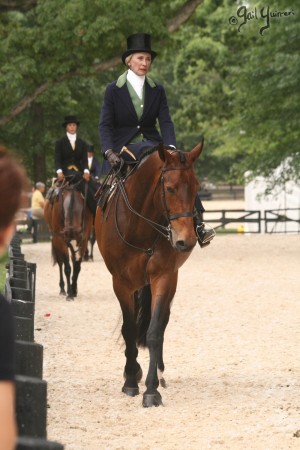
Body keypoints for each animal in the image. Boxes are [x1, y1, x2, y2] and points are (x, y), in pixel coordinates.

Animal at [95, 142, 204, 408]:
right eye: (170, 188)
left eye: (196, 187)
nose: (186, 241)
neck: (140, 226)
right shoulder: (121, 283)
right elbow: (129, 330)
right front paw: (130, 381)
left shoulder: (163, 277)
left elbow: (154, 332)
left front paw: (152, 390)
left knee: (162, 323)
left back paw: (160, 373)